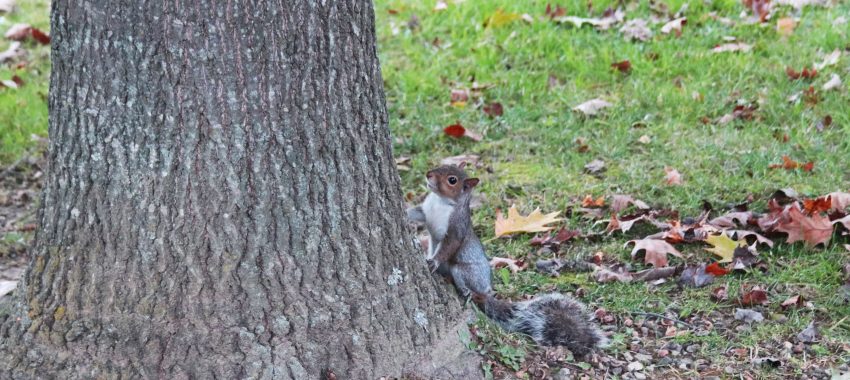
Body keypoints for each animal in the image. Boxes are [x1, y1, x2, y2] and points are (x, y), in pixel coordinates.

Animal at [408, 164, 608, 356]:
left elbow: (449, 246)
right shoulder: (425, 211)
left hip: (466, 272)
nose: (428, 174)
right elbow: (417, 213)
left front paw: (434, 261)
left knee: (469, 285)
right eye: (442, 165)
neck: (439, 201)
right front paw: (406, 210)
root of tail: (487, 292)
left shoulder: (456, 227)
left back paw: (467, 291)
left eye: (452, 180)